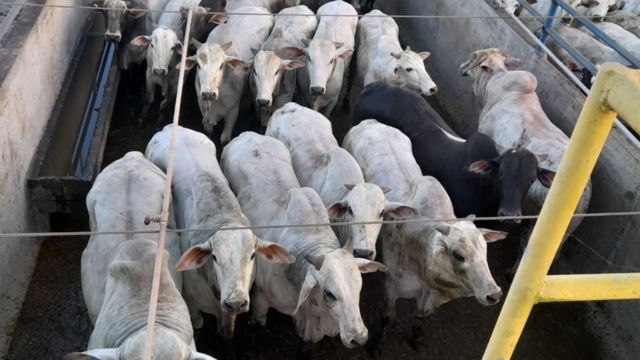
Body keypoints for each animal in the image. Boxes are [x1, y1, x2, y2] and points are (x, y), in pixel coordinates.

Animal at [195, 5, 276, 143]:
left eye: (221, 65)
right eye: (198, 65)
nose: (208, 94)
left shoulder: (232, 112)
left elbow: (225, 139)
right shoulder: (203, 111)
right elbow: (209, 131)